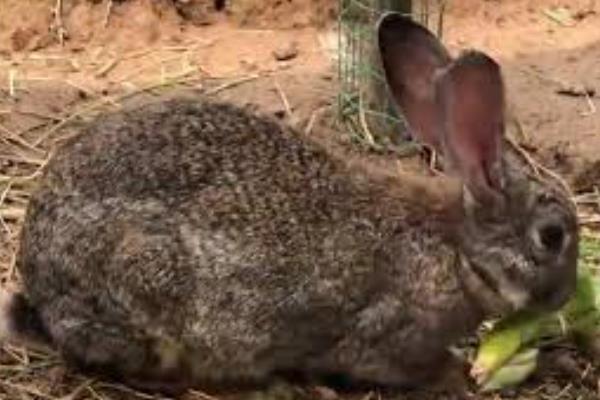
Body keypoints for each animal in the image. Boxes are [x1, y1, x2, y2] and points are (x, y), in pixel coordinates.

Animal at [1, 12, 576, 396]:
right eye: (552, 236)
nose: (568, 295)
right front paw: (458, 374)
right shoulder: (388, 337)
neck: (457, 251)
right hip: (142, 276)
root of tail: (42, 291)